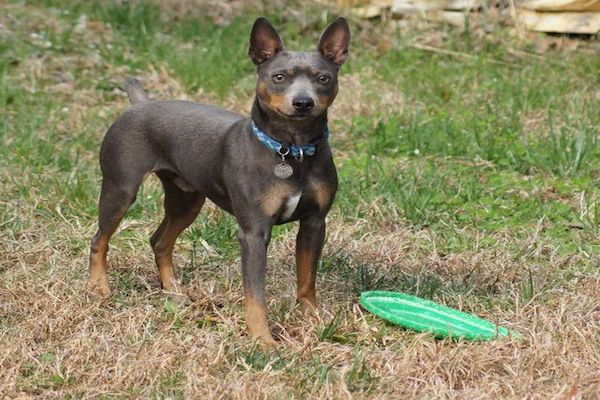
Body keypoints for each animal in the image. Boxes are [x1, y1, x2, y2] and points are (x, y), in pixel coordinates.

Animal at [90, 16, 352, 346]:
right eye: (278, 77)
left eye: (323, 78)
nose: (303, 102)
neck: (293, 151)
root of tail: (139, 105)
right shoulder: (254, 234)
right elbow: (256, 296)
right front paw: (263, 340)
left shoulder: (314, 224)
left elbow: (307, 281)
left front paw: (313, 320)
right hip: (120, 191)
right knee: (99, 240)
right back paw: (100, 288)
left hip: (187, 201)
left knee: (159, 241)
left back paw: (174, 291)